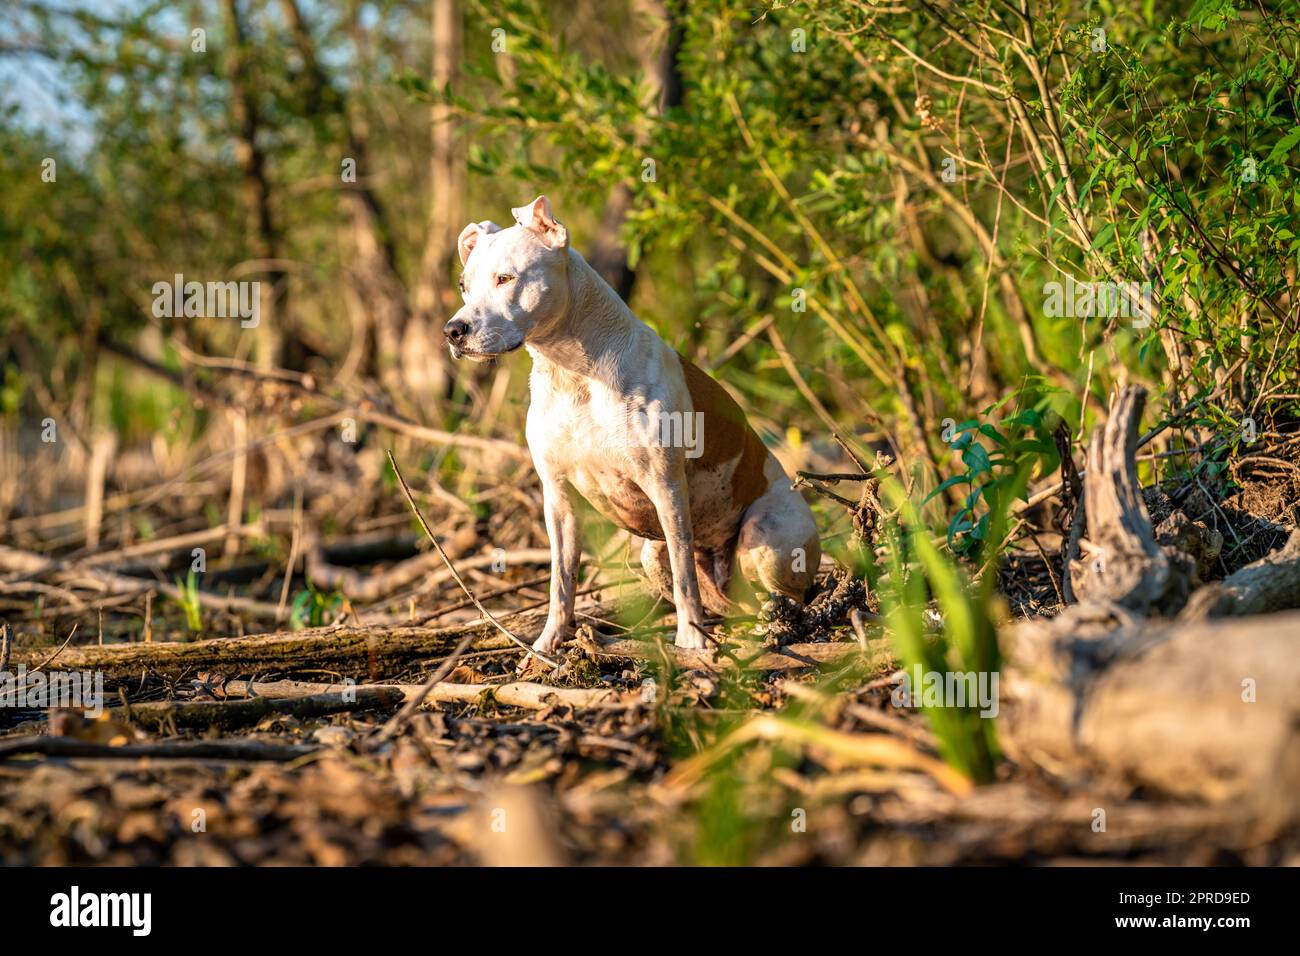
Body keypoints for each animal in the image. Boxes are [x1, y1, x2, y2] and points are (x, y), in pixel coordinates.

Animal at [441, 197, 816, 655]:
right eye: (463, 284)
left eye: (505, 278)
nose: (453, 330)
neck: (572, 374)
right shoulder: (558, 499)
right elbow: (561, 582)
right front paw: (547, 645)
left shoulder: (667, 488)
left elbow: (684, 576)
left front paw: (691, 639)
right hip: (655, 557)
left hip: (768, 533)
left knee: (788, 596)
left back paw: (770, 627)